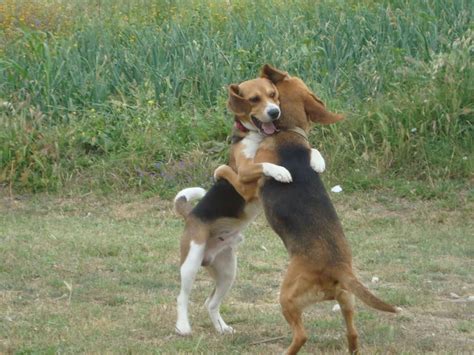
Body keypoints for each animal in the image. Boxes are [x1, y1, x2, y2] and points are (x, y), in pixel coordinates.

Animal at [174, 77, 326, 336]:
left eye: (273, 94)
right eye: (254, 99)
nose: (275, 112)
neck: (256, 137)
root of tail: (190, 214)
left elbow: (312, 150)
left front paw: (318, 161)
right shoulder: (245, 171)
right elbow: (264, 164)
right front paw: (281, 172)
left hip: (227, 271)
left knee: (210, 302)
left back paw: (222, 328)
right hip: (192, 261)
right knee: (182, 297)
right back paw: (183, 326)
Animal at [219, 65, 400, 354]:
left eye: (274, 93)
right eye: (255, 99)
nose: (274, 112)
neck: (286, 134)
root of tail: (339, 268)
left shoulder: (246, 180)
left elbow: (229, 168)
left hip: (288, 297)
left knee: (302, 335)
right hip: (347, 299)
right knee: (352, 333)